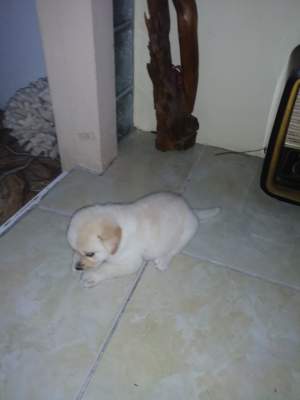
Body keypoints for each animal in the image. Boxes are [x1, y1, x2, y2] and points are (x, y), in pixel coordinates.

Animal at [67, 191, 219, 288]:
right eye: (74, 249)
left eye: (90, 254)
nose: (78, 267)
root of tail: (191, 210)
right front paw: (74, 261)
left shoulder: (130, 262)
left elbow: (107, 268)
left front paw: (91, 276)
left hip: (187, 232)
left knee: (173, 250)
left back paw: (163, 261)